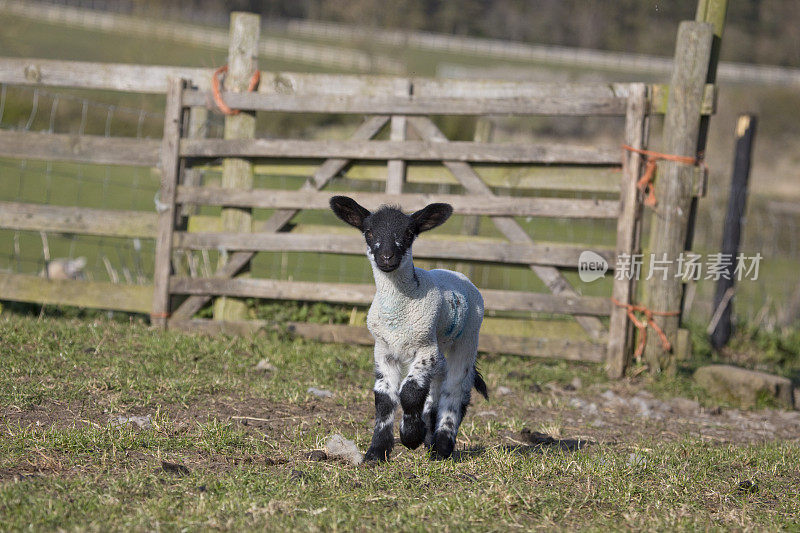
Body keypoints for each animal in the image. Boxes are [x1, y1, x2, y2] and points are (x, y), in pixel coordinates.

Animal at [326, 193, 488, 460]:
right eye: (369, 232)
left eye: (409, 232)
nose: (386, 257)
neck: (397, 315)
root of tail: (456, 273)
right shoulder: (383, 350)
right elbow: (383, 399)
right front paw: (376, 452)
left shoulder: (425, 347)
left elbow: (410, 392)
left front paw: (411, 435)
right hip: (440, 348)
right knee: (437, 386)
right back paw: (431, 437)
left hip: (467, 338)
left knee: (455, 390)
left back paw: (441, 446)